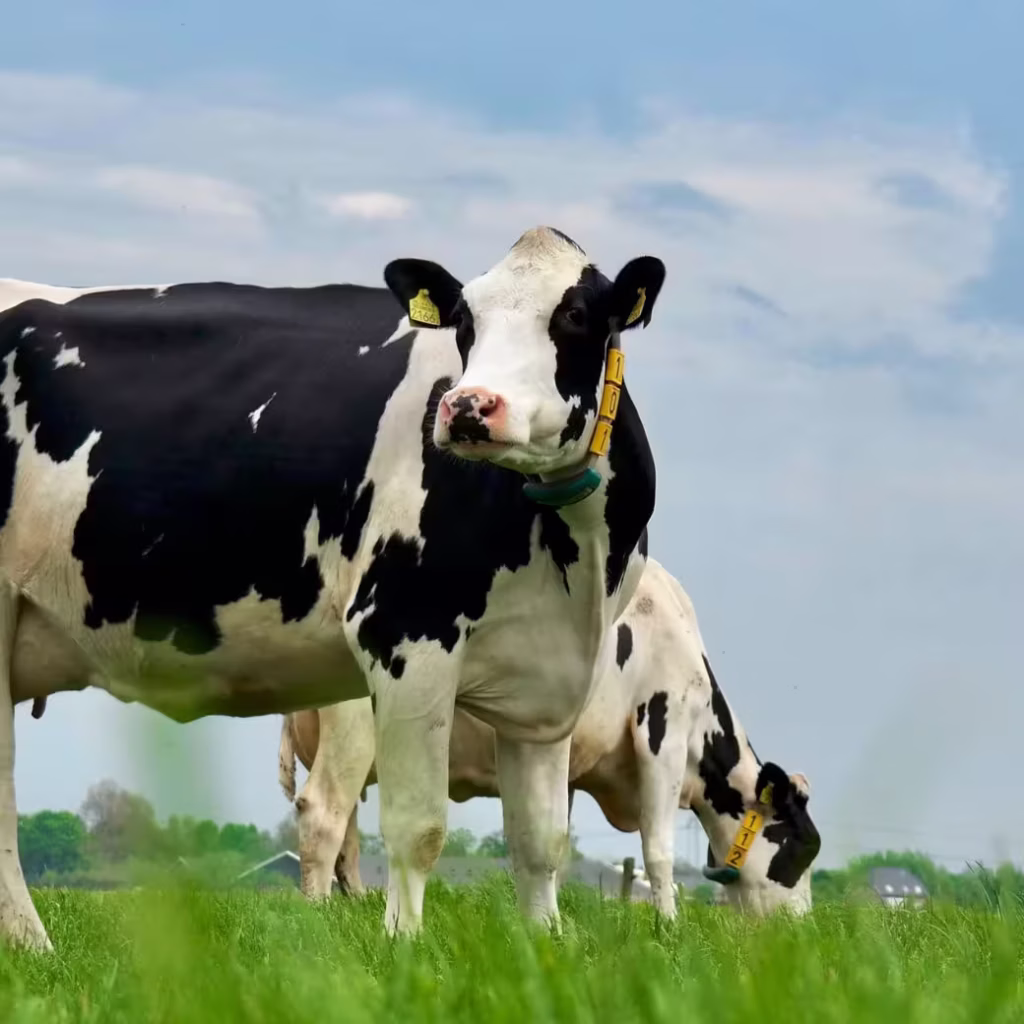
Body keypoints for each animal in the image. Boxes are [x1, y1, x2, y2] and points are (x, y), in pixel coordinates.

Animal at [0, 226, 664, 949]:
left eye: (574, 314)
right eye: (465, 320)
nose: (467, 406)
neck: (574, 559)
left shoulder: (547, 676)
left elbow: (542, 841)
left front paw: (544, 947)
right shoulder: (404, 630)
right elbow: (417, 827)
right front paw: (404, 946)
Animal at [279, 557, 822, 917]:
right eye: (801, 848)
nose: (802, 928)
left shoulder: (574, 765)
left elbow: (550, 843)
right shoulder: (662, 736)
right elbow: (659, 850)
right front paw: (669, 926)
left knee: (346, 836)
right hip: (354, 730)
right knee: (324, 814)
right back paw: (317, 915)